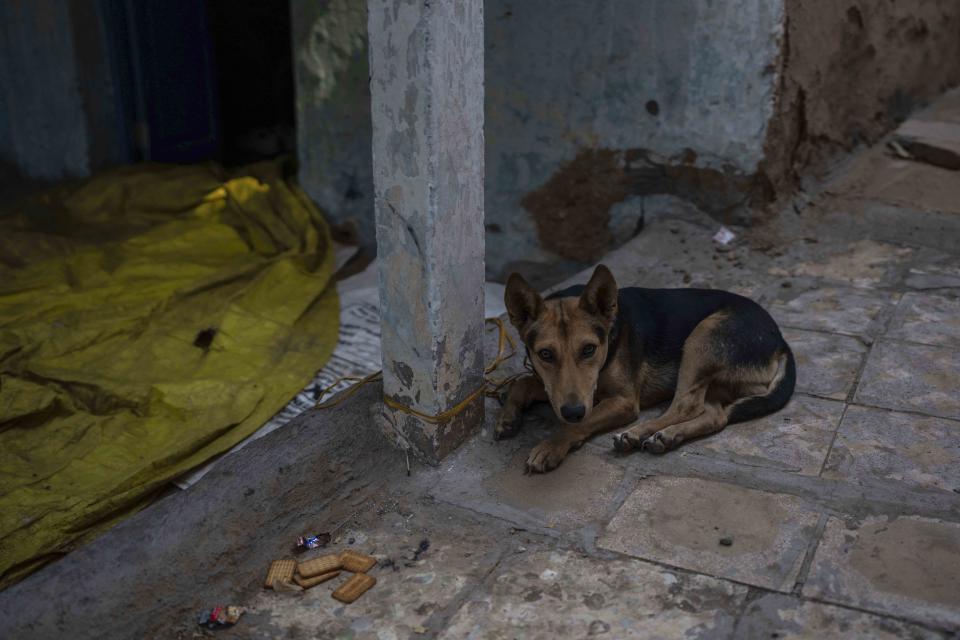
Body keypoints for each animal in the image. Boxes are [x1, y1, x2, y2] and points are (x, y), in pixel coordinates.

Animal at [496, 262, 796, 472]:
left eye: (589, 349)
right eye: (545, 354)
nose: (572, 411)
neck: (610, 338)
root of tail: (780, 340)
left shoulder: (623, 401)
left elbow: (578, 423)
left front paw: (550, 446)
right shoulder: (560, 389)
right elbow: (521, 383)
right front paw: (508, 417)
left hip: (702, 338)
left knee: (686, 406)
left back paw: (637, 433)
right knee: (715, 415)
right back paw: (669, 436)